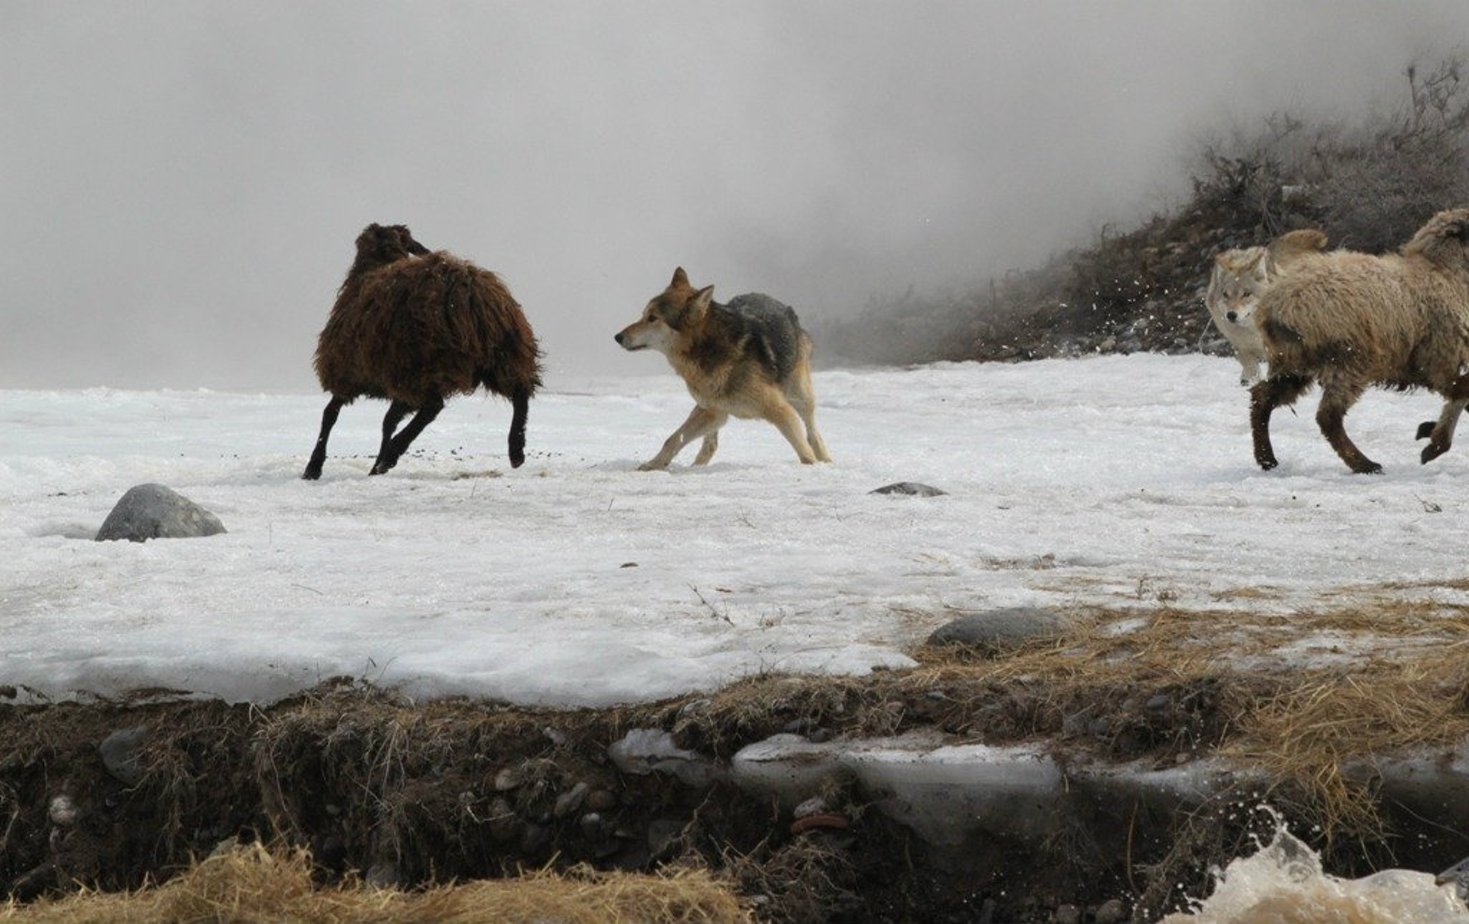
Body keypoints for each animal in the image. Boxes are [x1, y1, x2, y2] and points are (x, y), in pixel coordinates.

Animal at [301, 224, 543, 478]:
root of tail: (470, 290)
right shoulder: (392, 384)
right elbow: (388, 421)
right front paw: (375, 466)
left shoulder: (347, 372)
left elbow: (330, 415)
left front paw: (313, 467)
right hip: (502, 354)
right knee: (520, 392)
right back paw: (516, 450)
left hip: (424, 363)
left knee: (433, 407)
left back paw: (392, 453)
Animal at [614, 267, 834, 467]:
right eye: (643, 315)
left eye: (652, 318)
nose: (617, 337)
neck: (708, 351)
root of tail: (785, 306)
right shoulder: (712, 410)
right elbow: (673, 439)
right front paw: (653, 465)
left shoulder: (780, 410)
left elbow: (804, 451)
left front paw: (813, 468)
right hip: (711, 412)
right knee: (710, 444)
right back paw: (698, 465)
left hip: (800, 397)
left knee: (813, 433)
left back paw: (826, 460)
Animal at [1204, 229, 1333, 384]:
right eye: (1225, 294)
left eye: (1246, 294)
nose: (1231, 315)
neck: (1254, 331)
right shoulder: (1242, 348)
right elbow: (1251, 370)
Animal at [1245, 205, 1469, 473]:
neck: (1445, 272)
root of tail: (1277, 303)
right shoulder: (1438, 358)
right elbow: (1463, 390)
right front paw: (1433, 441)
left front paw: (1430, 433)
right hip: (1349, 359)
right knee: (1328, 416)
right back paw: (1365, 464)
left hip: (1295, 362)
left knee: (1262, 396)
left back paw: (1267, 458)